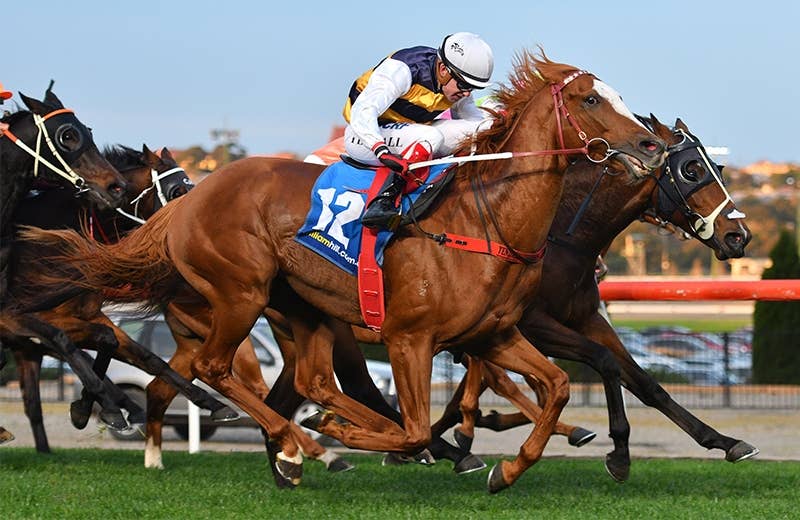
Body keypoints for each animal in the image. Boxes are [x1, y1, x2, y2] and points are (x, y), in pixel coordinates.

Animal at [23, 51, 667, 493]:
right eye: (590, 100)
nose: (651, 147)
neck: (486, 219)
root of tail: (192, 197)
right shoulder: (409, 338)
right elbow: (414, 425)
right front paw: (419, 445)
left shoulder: (493, 333)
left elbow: (555, 387)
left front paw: (507, 469)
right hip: (241, 293)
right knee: (217, 369)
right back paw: (299, 443)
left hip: (301, 308)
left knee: (315, 383)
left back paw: (317, 435)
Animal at [427, 114, 755, 482]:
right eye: (691, 170)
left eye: (719, 166)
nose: (738, 235)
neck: (564, 239)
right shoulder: (531, 325)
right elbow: (604, 362)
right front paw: (620, 452)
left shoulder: (587, 319)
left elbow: (644, 382)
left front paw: (724, 441)